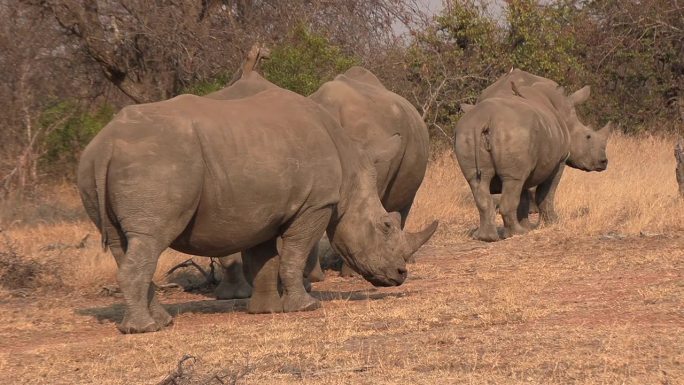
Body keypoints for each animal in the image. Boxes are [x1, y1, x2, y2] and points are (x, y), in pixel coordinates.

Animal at [79, 85, 432, 332]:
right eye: (385, 226)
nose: (400, 275)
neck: (351, 172)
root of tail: (105, 144)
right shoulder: (316, 205)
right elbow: (294, 254)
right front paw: (305, 307)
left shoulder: (262, 209)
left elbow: (265, 258)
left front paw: (267, 310)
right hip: (155, 164)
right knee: (149, 239)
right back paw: (146, 329)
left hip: (97, 164)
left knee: (123, 243)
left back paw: (161, 322)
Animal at [454, 67, 608, 238]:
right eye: (588, 136)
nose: (604, 162)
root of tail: (485, 119)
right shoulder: (559, 160)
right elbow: (546, 193)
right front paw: (553, 222)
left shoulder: (528, 159)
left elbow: (523, 195)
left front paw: (528, 226)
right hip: (512, 131)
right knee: (512, 181)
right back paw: (516, 233)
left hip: (468, 131)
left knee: (478, 181)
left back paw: (485, 237)